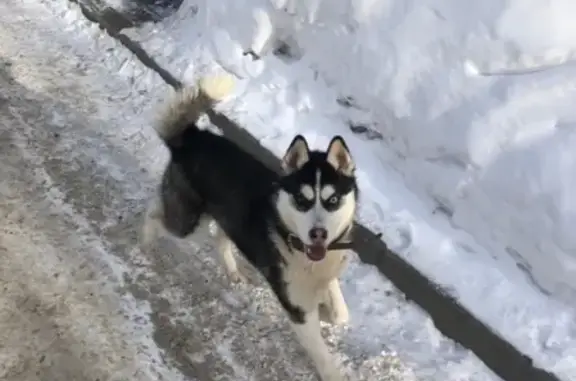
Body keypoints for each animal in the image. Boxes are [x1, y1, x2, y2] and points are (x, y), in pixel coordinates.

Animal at [142, 74, 358, 380]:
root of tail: (195, 137)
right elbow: (321, 353)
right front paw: (332, 371)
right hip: (187, 220)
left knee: (220, 238)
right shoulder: (296, 306)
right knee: (157, 214)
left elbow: (340, 312)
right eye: (302, 200)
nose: (318, 233)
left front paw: (331, 310)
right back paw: (145, 240)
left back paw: (232, 270)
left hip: (226, 216)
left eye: (333, 200)